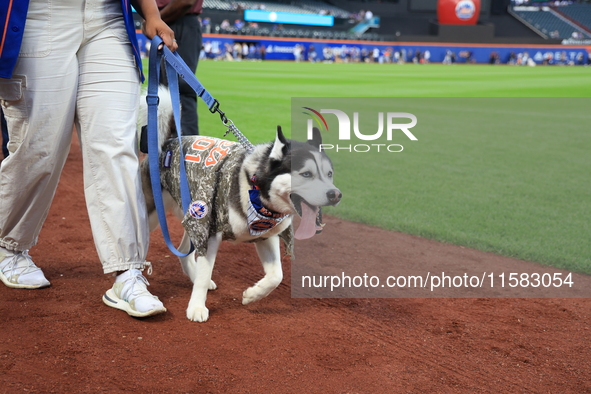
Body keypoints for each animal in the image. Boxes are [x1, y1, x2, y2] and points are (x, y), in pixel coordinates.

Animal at [140, 91, 342, 322]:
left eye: (329, 174)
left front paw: (253, 295)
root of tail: (171, 141)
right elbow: (206, 273)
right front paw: (197, 307)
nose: (335, 195)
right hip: (159, 216)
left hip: (193, 215)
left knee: (183, 250)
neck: (255, 192)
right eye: (306, 174)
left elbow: (277, 276)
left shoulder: (264, 236)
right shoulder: (211, 230)